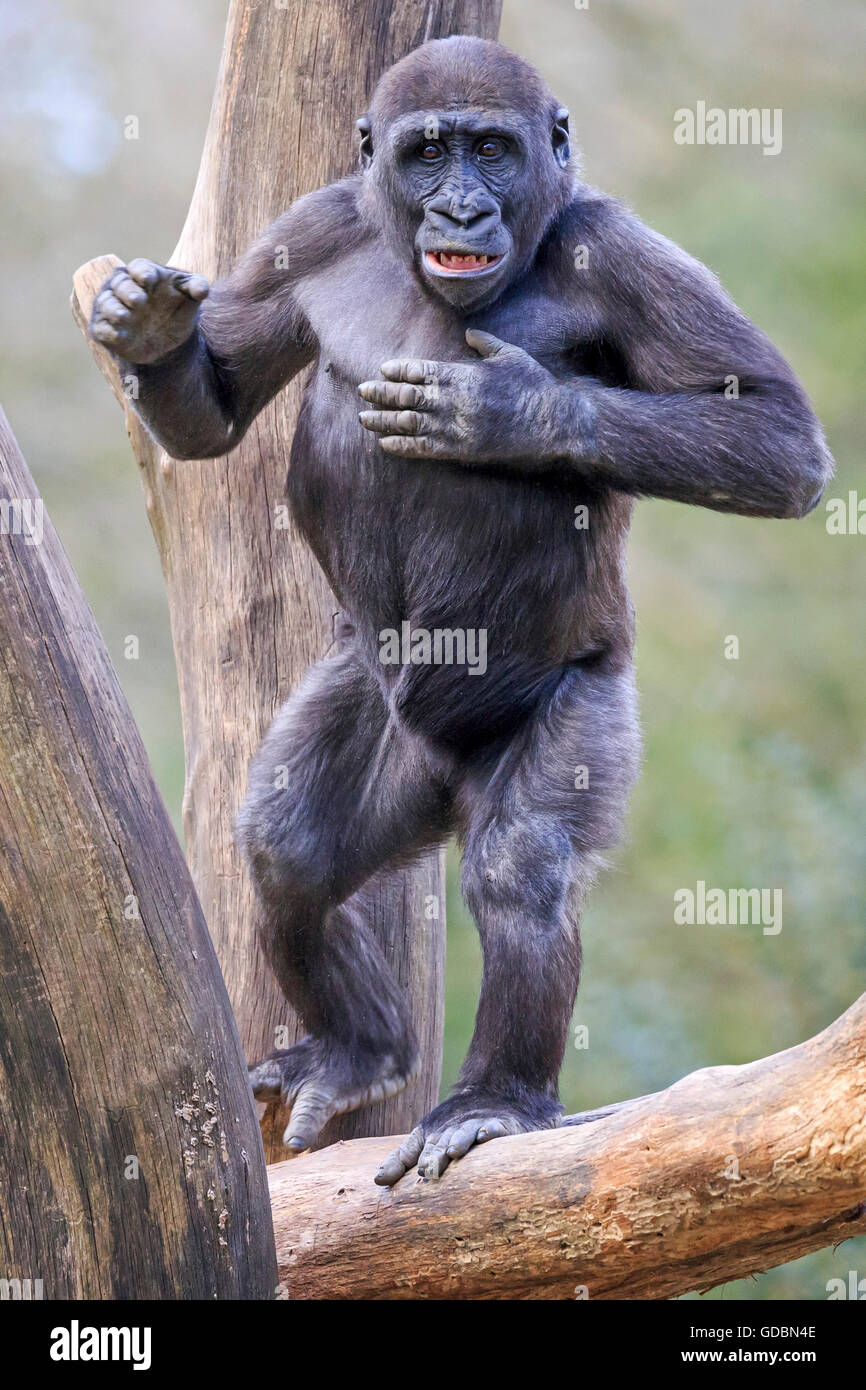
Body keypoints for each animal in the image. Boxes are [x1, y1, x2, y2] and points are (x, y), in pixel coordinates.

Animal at [89, 35, 834, 1184]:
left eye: (491, 149)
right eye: (427, 152)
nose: (460, 209)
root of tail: (442, 782)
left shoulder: (624, 255)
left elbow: (773, 433)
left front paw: (513, 413)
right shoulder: (306, 229)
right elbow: (217, 416)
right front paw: (154, 331)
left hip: (576, 699)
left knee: (519, 869)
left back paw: (493, 1102)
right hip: (378, 724)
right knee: (290, 846)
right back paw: (360, 1049)